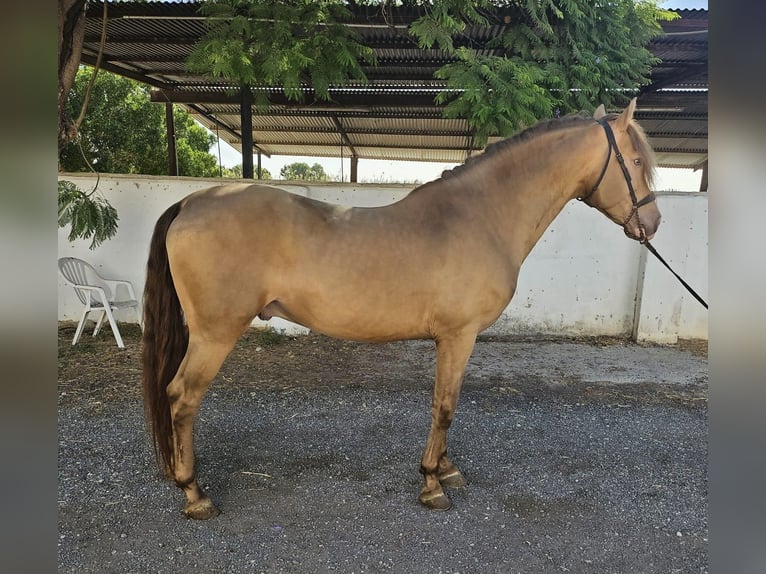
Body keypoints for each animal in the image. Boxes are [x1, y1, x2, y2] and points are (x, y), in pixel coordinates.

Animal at [142, 98, 660, 519]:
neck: (481, 216)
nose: (652, 223)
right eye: (635, 161)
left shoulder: (454, 339)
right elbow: (444, 406)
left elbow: (447, 402)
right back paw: (195, 493)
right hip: (215, 333)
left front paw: (446, 469)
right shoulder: (458, 335)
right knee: (182, 397)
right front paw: (432, 483)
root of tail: (191, 201)